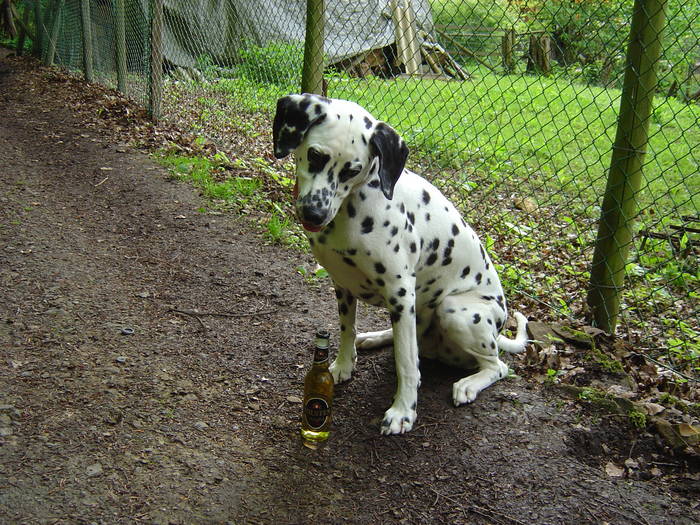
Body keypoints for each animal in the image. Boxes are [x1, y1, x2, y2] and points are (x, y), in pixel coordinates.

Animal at [270, 93, 528, 434]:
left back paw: (469, 384)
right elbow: (347, 330)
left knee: (497, 366)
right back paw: (376, 337)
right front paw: (343, 365)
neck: (355, 206)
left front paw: (404, 411)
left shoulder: (401, 293)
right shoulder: (343, 286)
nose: (315, 213)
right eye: (314, 155)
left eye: (352, 170)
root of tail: (499, 330)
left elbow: (407, 363)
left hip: (455, 311)